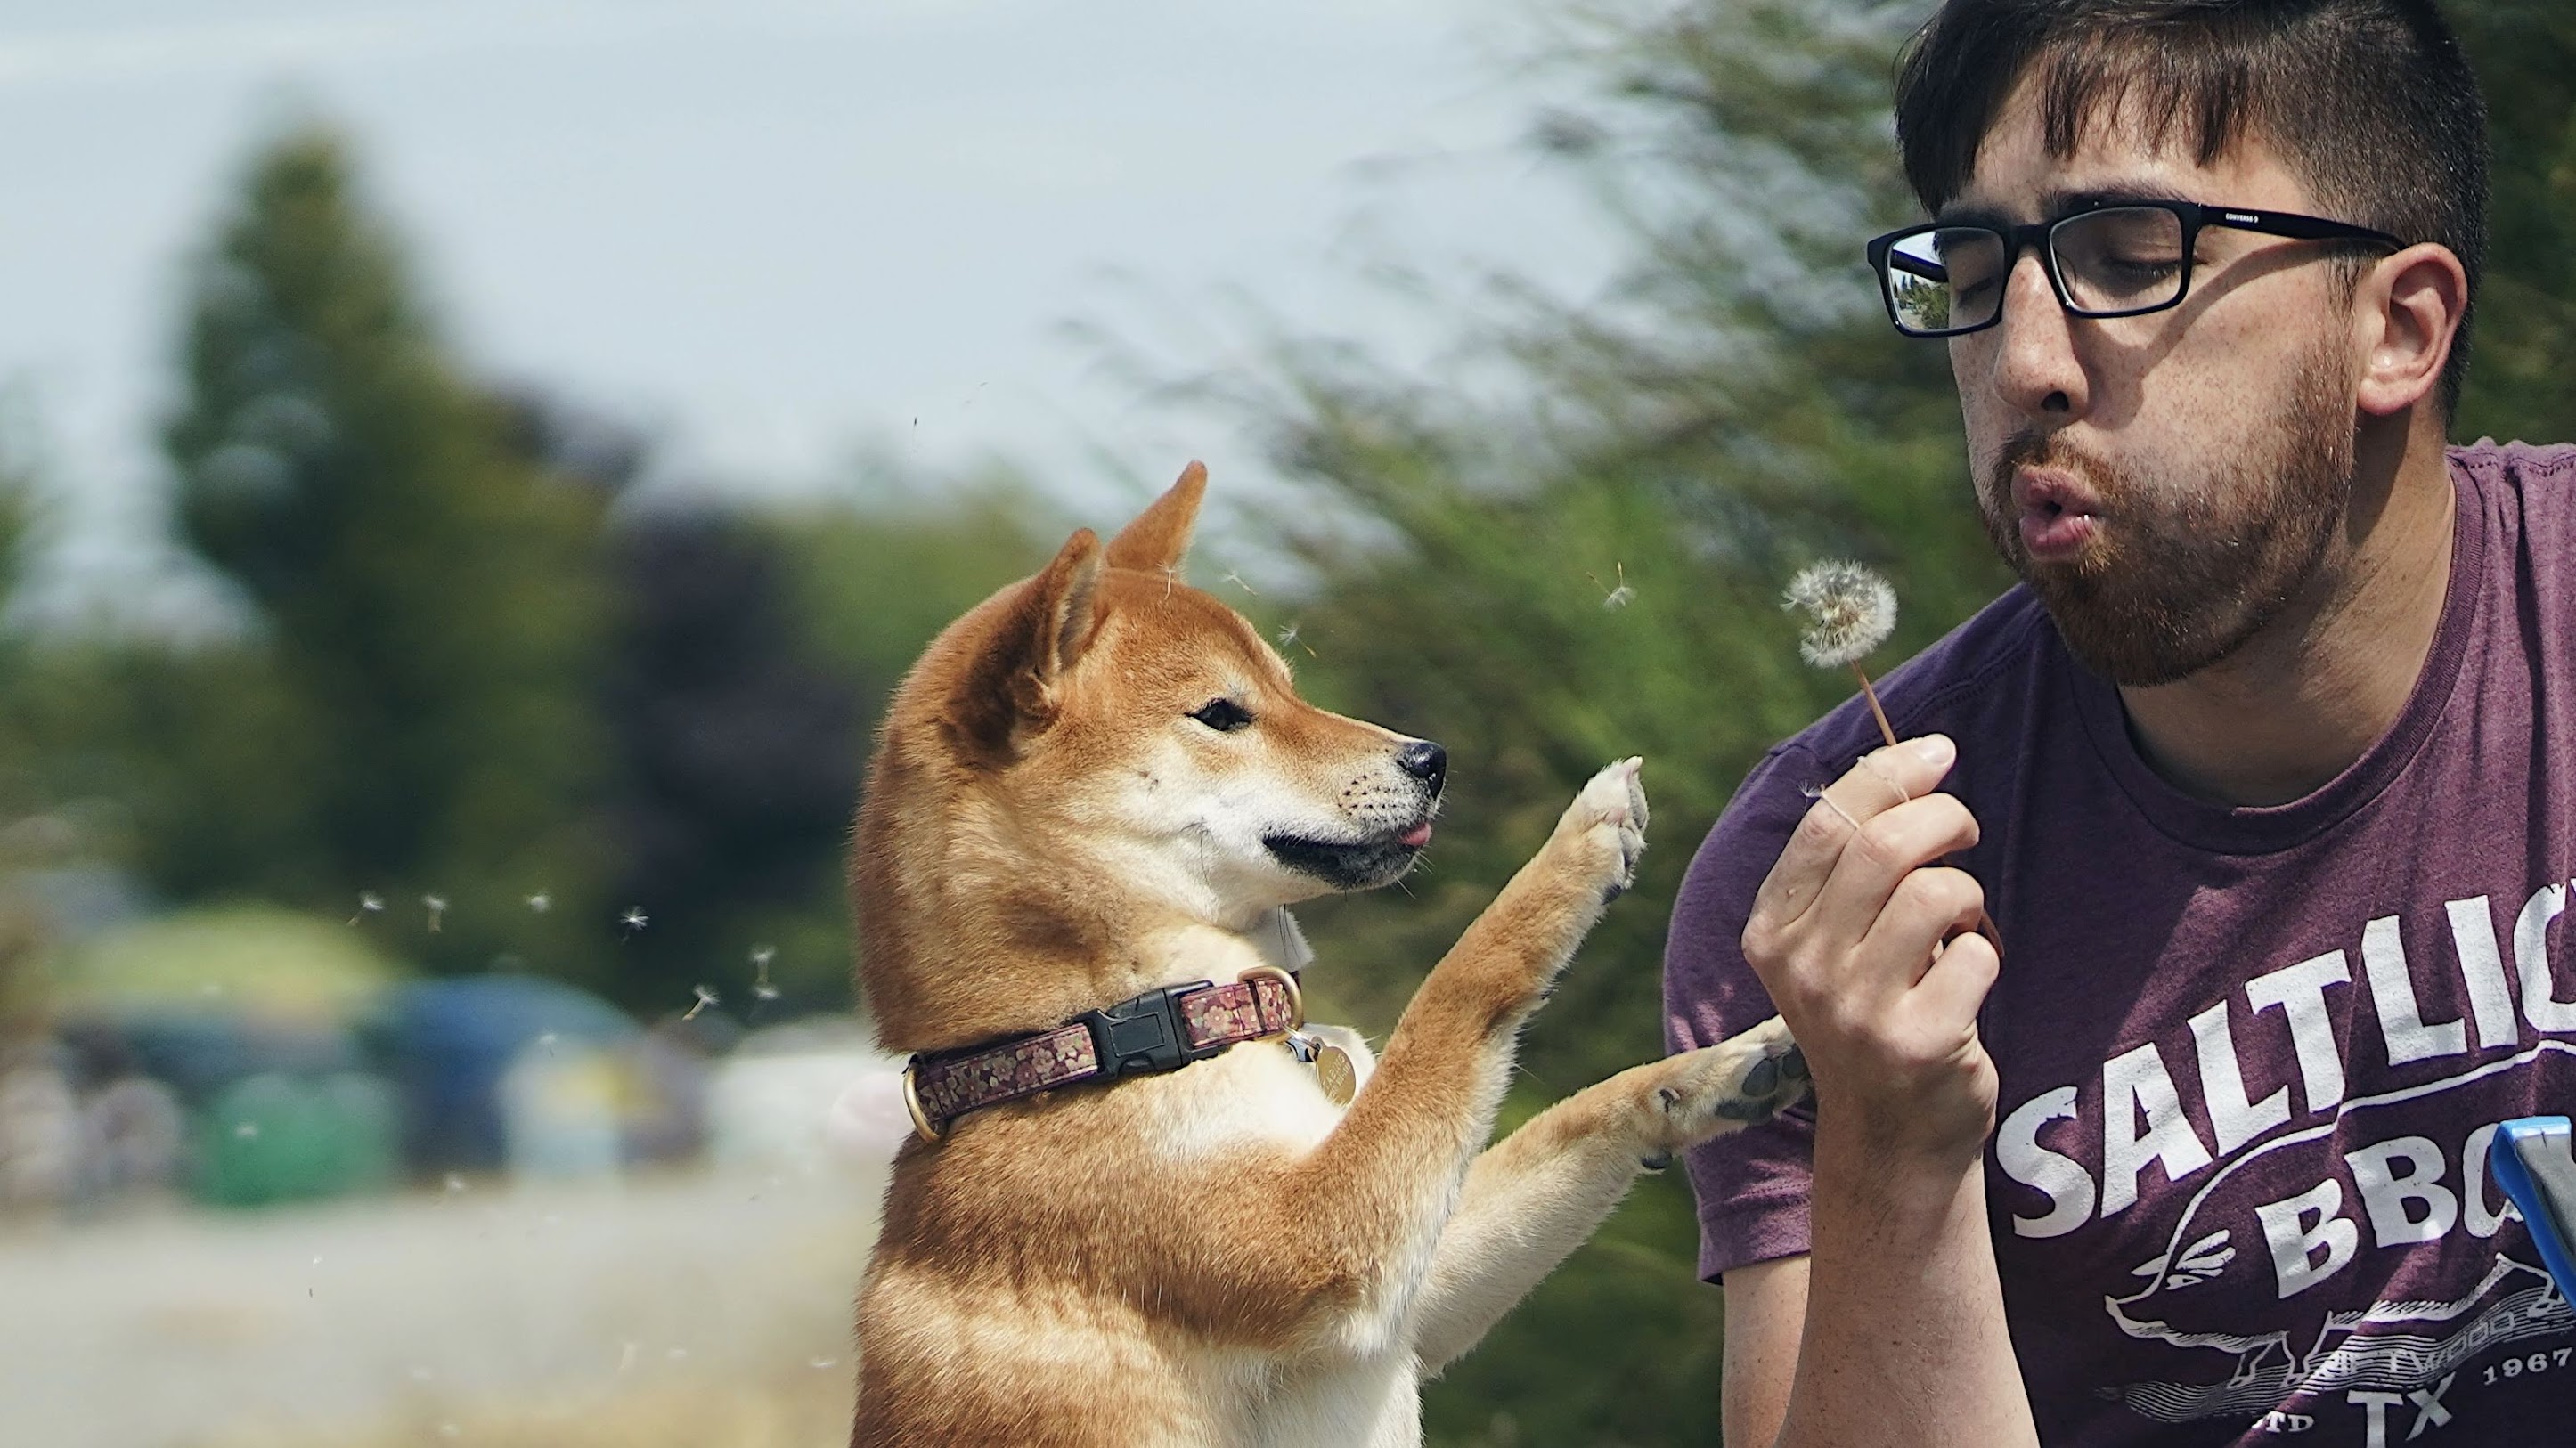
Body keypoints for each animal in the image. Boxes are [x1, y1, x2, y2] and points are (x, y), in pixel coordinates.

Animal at [855, 463, 1803, 1443]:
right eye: (1223, 715)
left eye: (1288, 688)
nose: (1431, 758)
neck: (1088, 1037)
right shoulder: (1314, 1240)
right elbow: (1458, 988)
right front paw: (1574, 850)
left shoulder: (1413, 1298)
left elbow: (1566, 1120)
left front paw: (1716, 1071)